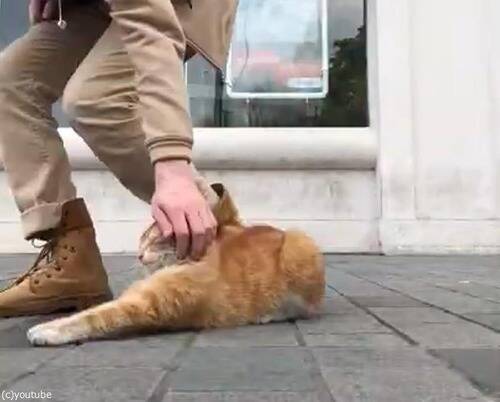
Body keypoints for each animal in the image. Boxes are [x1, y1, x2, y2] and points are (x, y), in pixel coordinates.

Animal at [27, 184, 325, 346]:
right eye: (142, 239)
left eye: (157, 239)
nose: (139, 255)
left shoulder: (148, 303)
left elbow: (96, 316)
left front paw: (46, 330)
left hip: (301, 246)